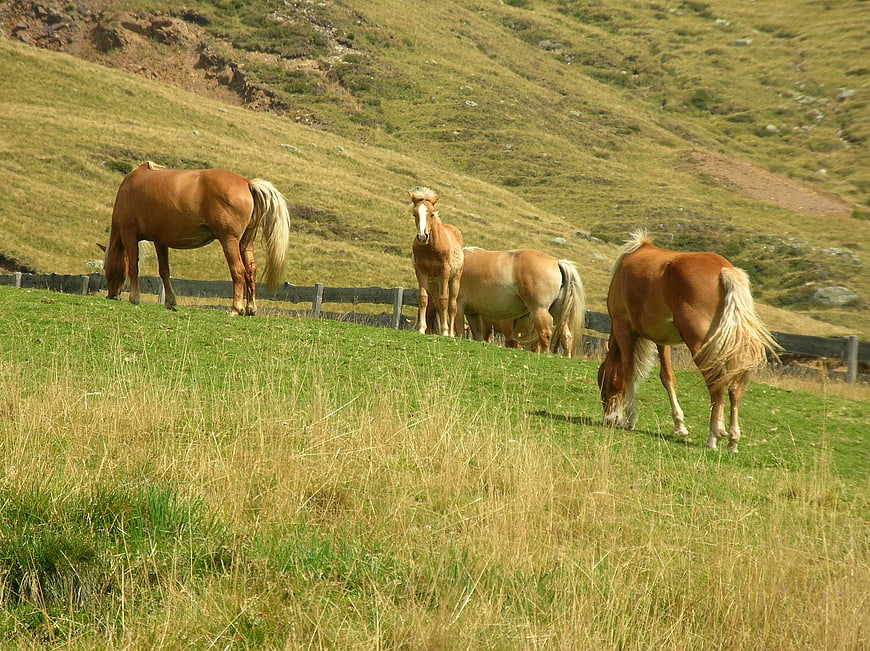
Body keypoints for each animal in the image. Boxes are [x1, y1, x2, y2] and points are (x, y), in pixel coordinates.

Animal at [105, 161, 291, 316]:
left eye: (107, 270)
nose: (111, 296)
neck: (130, 186)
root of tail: (247, 183)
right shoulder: (160, 241)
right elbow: (164, 271)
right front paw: (170, 302)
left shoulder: (129, 233)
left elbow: (134, 267)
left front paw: (134, 297)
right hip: (246, 243)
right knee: (251, 271)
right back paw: (251, 308)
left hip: (229, 241)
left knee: (238, 271)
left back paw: (236, 309)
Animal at [409, 187, 464, 336]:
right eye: (414, 214)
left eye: (432, 214)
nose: (422, 237)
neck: (431, 248)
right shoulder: (421, 272)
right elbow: (423, 298)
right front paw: (421, 328)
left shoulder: (444, 273)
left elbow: (444, 300)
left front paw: (445, 332)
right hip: (433, 283)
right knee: (435, 303)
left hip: (454, 279)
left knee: (452, 305)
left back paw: (450, 333)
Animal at [456, 247, 586, 357]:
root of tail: (556, 262)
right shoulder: (472, 313)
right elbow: (477, 335)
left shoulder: (459, 305)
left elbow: (460, 330)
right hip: (558, 314)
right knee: (566, 336)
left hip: (539, 310)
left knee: (545, 334)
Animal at [597, 230, 779, 452]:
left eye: (603, 380)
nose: (608, 419)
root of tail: (724, 270)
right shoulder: (661, 340)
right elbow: (667, 378)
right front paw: (679, 425)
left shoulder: (623, 329)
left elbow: (629, 371)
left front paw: (628, 418)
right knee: (734, 387)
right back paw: (732, 441)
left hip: (701, 345)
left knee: (715, 384)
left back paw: (714, 436)